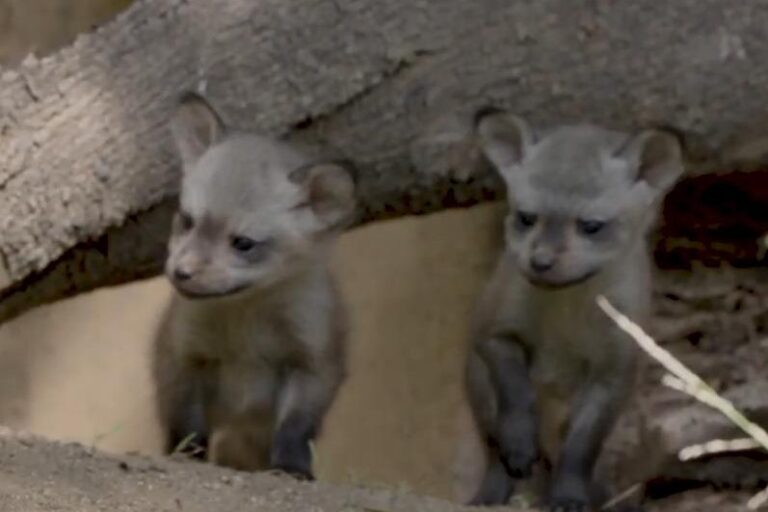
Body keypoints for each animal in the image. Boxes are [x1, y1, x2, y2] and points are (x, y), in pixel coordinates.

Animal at [152, 92, 355, 480]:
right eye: (187, 221)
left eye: (243, 243)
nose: (182, 272)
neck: (245, 324)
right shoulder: (182, 355)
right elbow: (187, 428)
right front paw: (186, 458)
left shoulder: (312, 360)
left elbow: (295, 428)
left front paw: (292, 468)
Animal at [465, 109, 684, 511]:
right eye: (525, 217)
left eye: (591, 226)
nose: (541, 262)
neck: (565, 320)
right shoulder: (492, 329)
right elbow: (517, 399)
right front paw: (520, 444)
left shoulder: (614, 370)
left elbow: (580, 449)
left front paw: (569, 496)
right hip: (479, 388)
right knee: (493, 452)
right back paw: (491, 495)